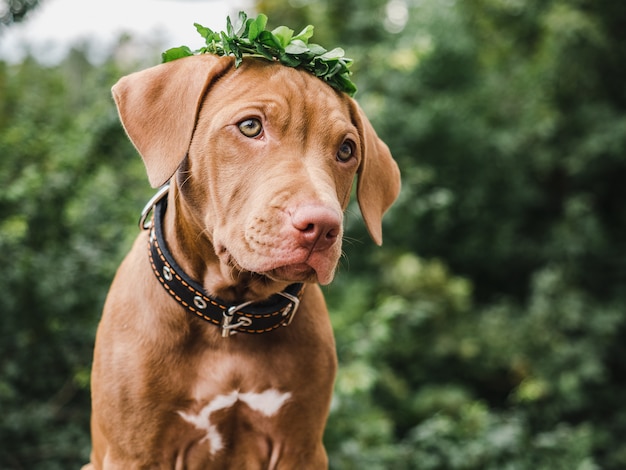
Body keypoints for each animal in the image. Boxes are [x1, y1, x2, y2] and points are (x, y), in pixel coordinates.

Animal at [84, 53, 400, 468]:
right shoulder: (135, 452)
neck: (229, 315)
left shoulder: (300, 448)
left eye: (346, 150)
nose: (321, 227)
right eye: (251, 127)